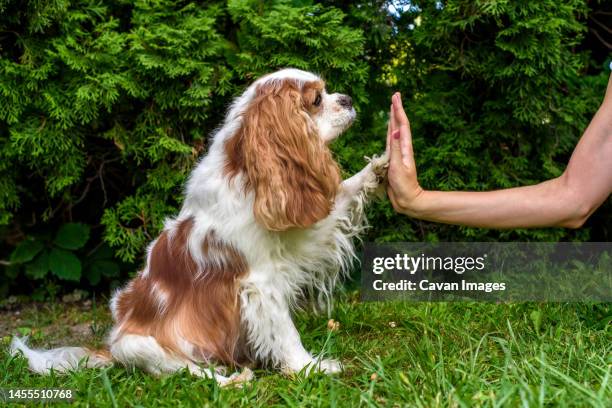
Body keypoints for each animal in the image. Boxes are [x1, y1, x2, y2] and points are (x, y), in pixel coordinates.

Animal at [10, 67, 388, 386]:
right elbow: (285, 332)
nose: (347, 99)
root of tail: (108, 349)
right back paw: (235, 380)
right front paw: (310, 367)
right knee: (192, 374)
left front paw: (381, 166)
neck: (249, 173)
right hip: (139, 346)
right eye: (316, 100)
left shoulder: (302, 233)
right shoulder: (260, 282)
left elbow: (345, 192)